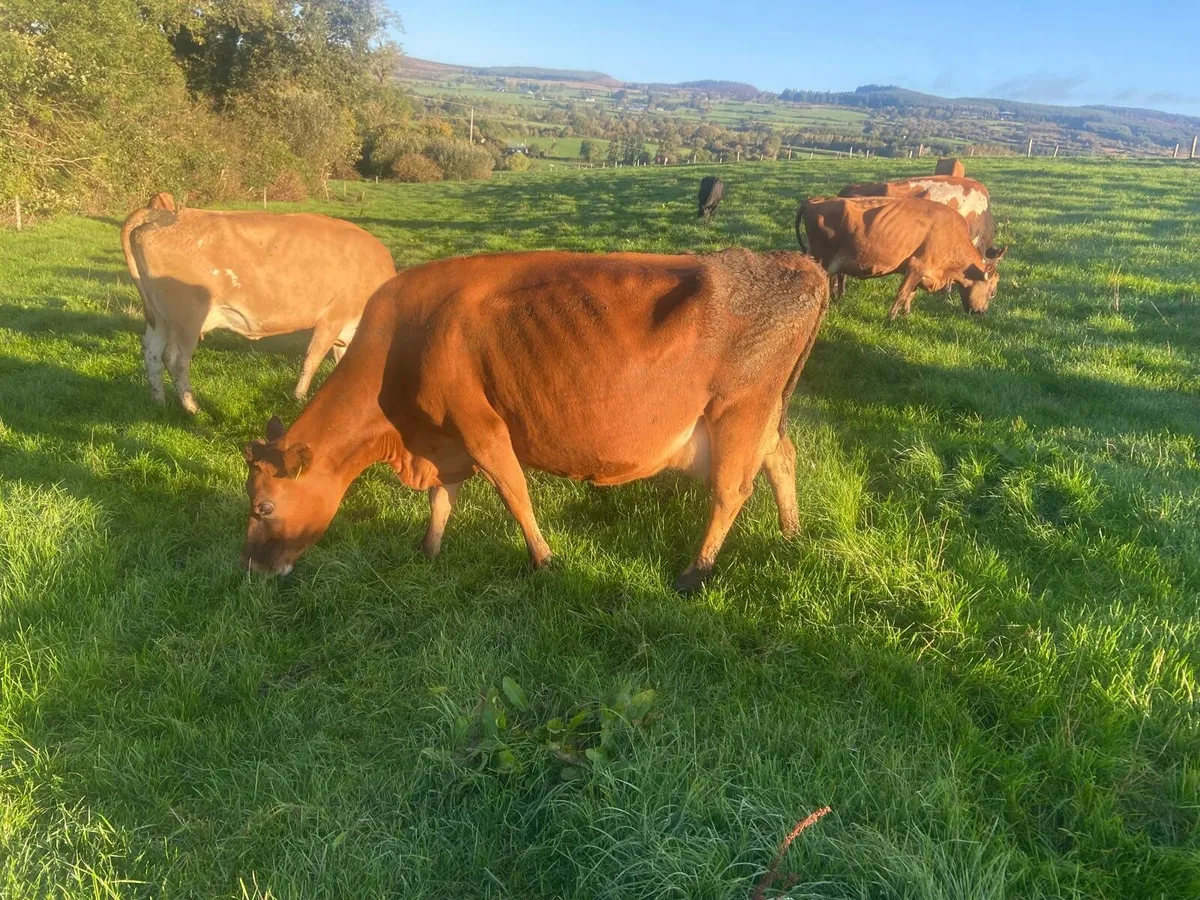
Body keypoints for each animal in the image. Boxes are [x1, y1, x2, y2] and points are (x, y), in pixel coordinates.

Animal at [123, 196, 396, 414]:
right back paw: (192, 408)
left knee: (151, 353)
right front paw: (299, 398)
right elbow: (312, 359)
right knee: (175, 358)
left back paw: (158, 402)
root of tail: (166, 215)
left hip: (160, 317)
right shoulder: (332, 318)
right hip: (187, 317)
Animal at [238, 249, 830, 593]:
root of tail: (800, 264)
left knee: (731, 490)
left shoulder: (481, 425)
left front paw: (543, 560)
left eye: (264, 506)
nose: (249, 568)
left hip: (738, 410)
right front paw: (428, 550)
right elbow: (444, 498)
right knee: (783, 460)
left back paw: (695, 573)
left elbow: (513, 492)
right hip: (763, 416)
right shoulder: (446, 438)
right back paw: (791, 534)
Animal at [794, 195, 1006, 320]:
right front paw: (891, 318)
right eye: (993, 292)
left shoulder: (919, 273)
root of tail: (813, 201)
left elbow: (911, 294)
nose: (982, 312)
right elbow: (903, 293)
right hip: (821, 258)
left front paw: (906, 314)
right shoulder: (916, 266)